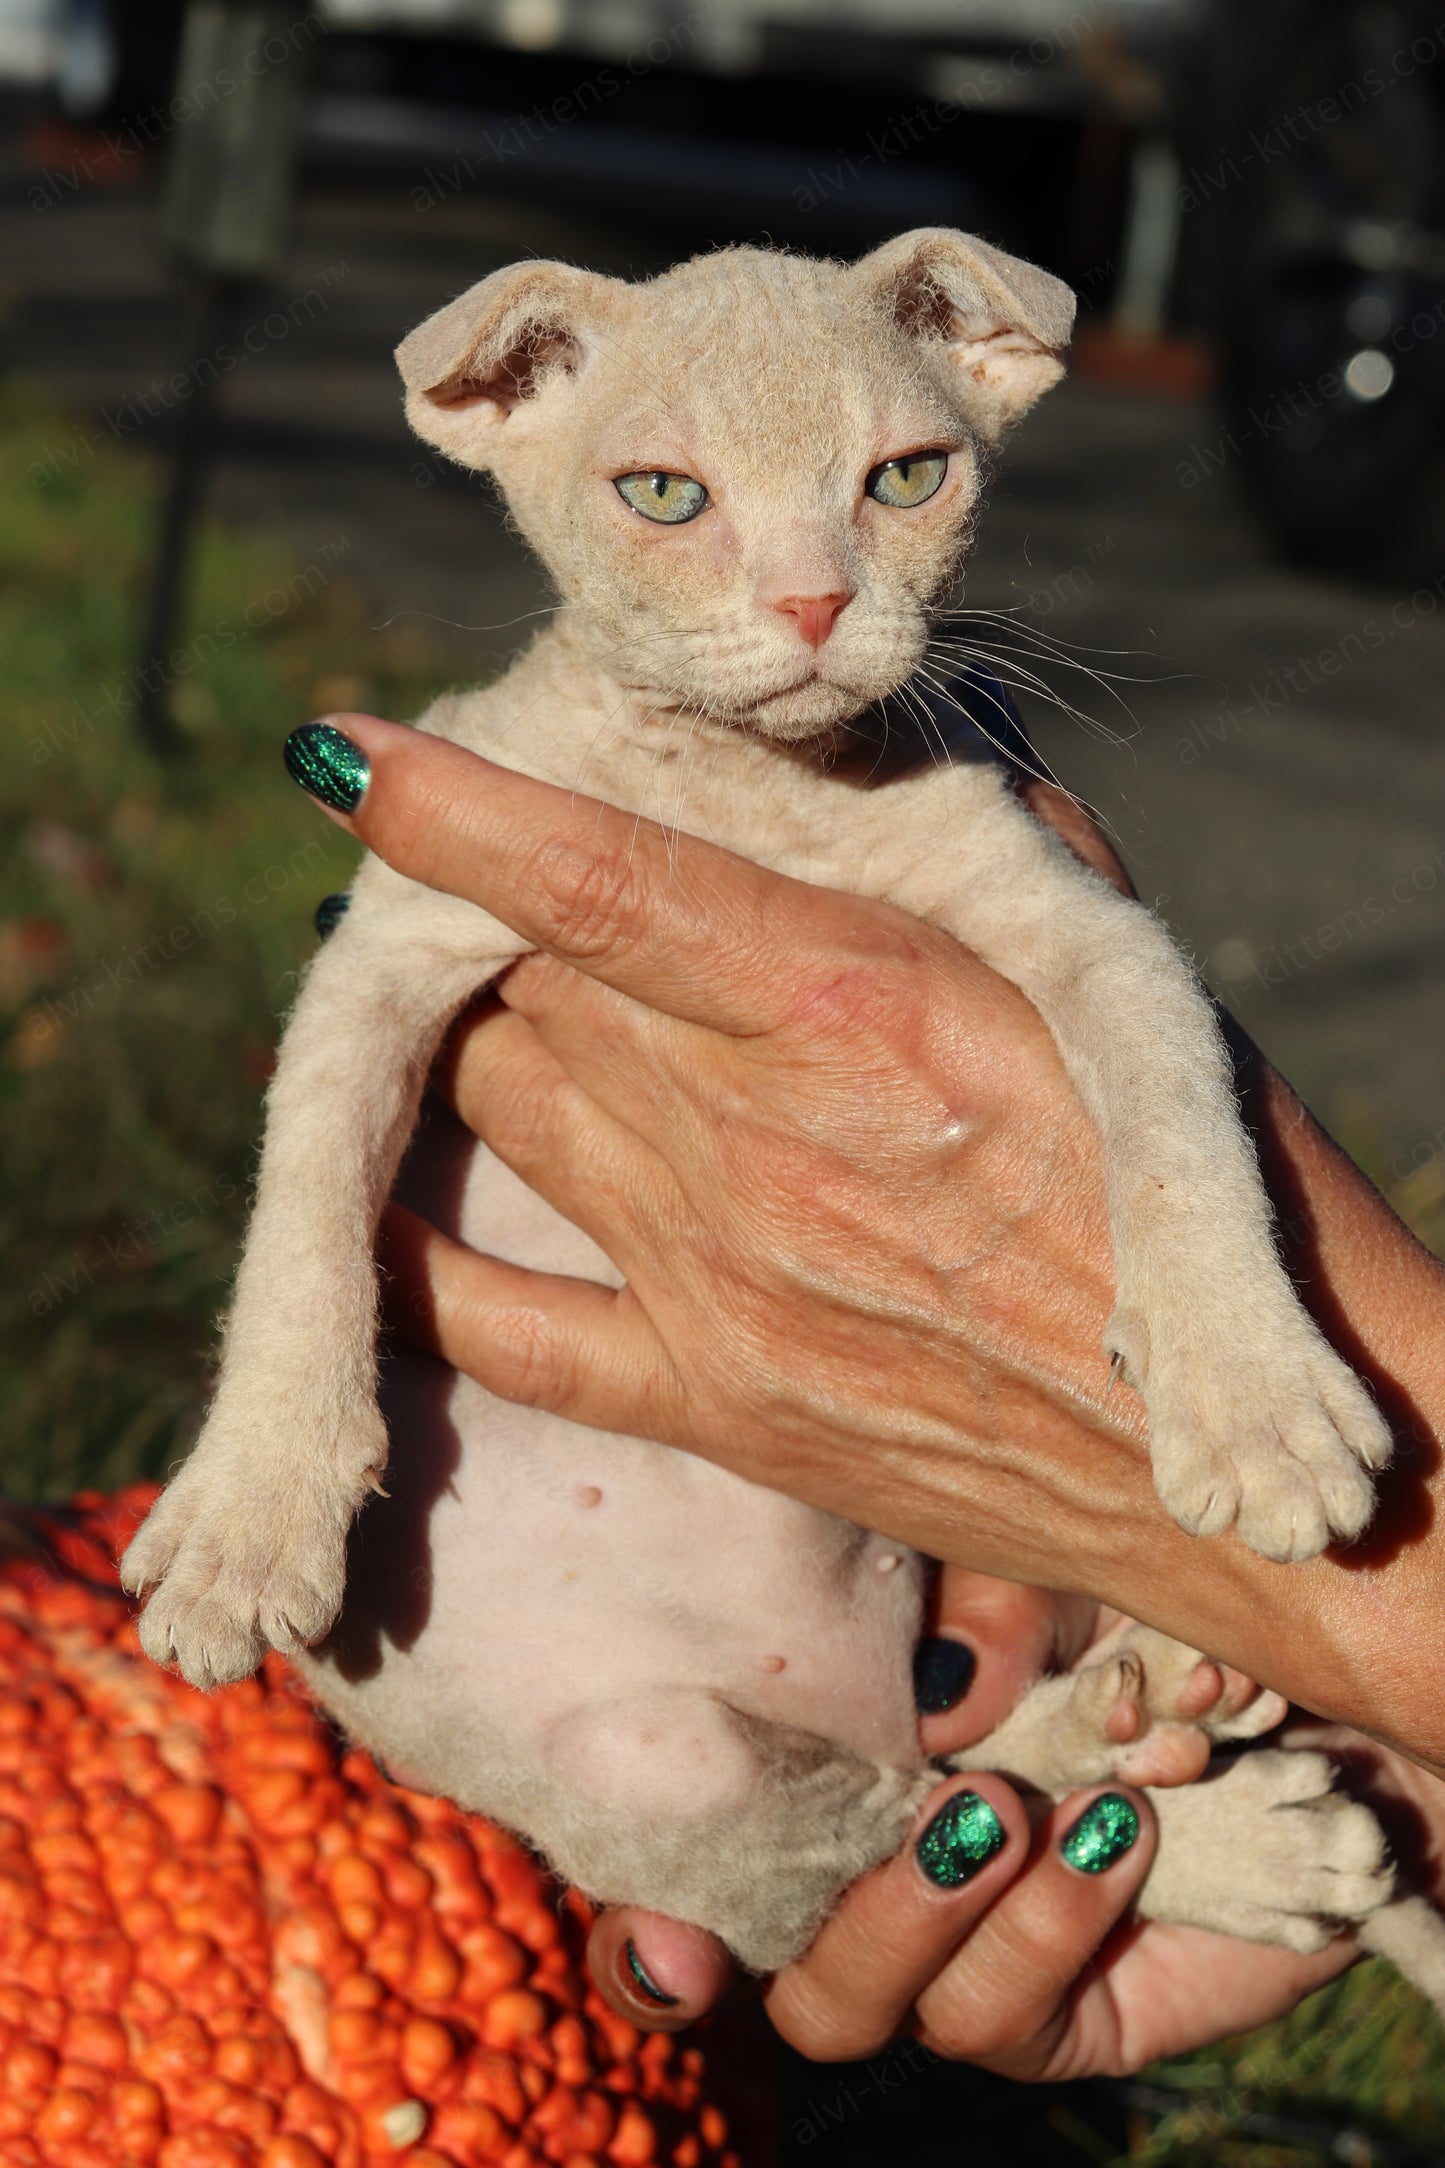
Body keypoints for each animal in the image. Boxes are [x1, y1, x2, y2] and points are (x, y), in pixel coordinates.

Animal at [121, 233, 1445, 1994]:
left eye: (907, 476)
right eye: (663, 495)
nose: (816, 605)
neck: (744, 791)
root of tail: (841, 1681)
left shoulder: (1088, 928)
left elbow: (1183, 1138)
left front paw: (1252, 1394)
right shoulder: (387, 947)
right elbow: (303, 1227)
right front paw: (249, 1519)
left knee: (935, 1807)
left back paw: (1198, 1774)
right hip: (662, 1777)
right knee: (896, 1831)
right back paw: (1201, 1789)